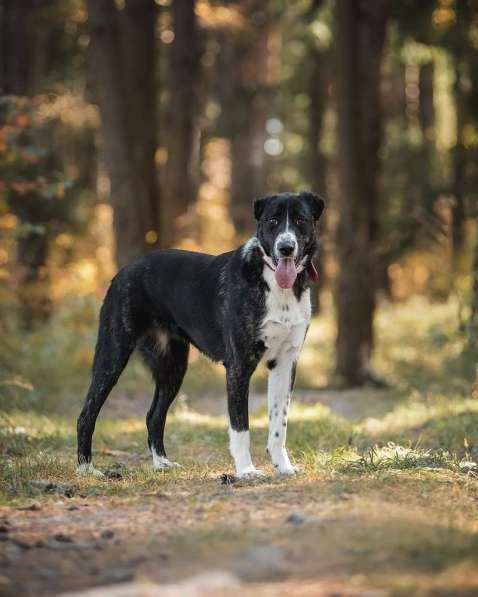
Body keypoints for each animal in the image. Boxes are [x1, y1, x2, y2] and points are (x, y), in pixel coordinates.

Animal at [77, 193, 324, 478]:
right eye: (272, 220)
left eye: (300, 220)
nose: (285, 247)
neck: (273, 282)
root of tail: (123, 271)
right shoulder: (239, 365)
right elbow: (240, 425)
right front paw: (246, 470)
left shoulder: (284, 362)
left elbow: (278, 423)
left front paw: (282, 466)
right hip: (112, 355)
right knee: (87, 413)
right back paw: (86, 469)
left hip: (172, 367)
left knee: (153, 416)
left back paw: (162, 463)